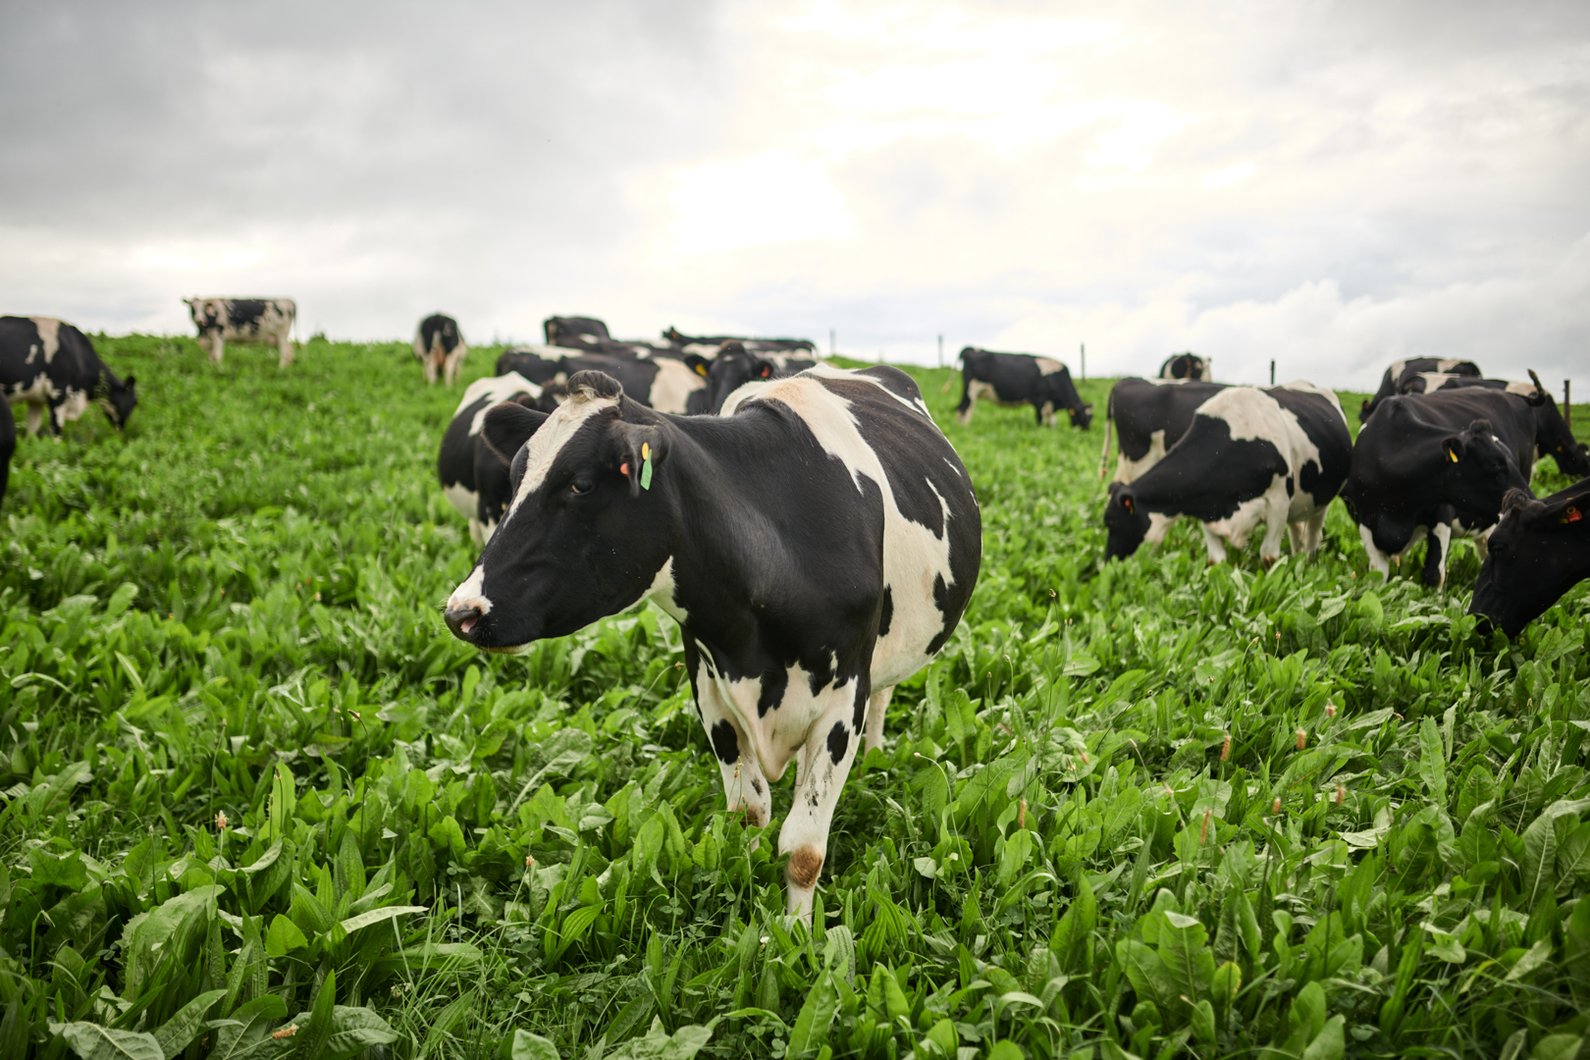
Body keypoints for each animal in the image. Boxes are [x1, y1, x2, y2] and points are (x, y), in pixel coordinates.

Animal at [0, 316, 138, 436]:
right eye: (134, 403)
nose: (121, 431)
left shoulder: (36, 400)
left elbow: (31, 434)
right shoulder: (58, 392)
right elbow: (56, 430)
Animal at [956, 347, 1093, 429]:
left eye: (1091, 418)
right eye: (1082, 417)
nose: (1086, 432)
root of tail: (970, 350)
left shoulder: (1050, 403)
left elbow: (1052, 421)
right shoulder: (1040, 399)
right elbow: (1040, 419)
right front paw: (1040, 430)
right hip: (971, 390)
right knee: (964, 409)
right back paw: (965, 428)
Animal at [1103, 383, 1351, 565]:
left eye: (1112, 522)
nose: (1107, 563)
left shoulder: (1279, 503)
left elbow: (1268, 556)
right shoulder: (1207, 508)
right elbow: (1217, 562)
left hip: (1320, 500)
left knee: (1313, 537)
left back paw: (1308, 562)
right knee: (1297, 532)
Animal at [1340, 389, 1536, 588]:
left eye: (1512, 459)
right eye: (1494, 465)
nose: (1532, 501)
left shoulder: (1442, 514)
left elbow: (1433, 575)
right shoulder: (1365, 522)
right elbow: (1377, 577)